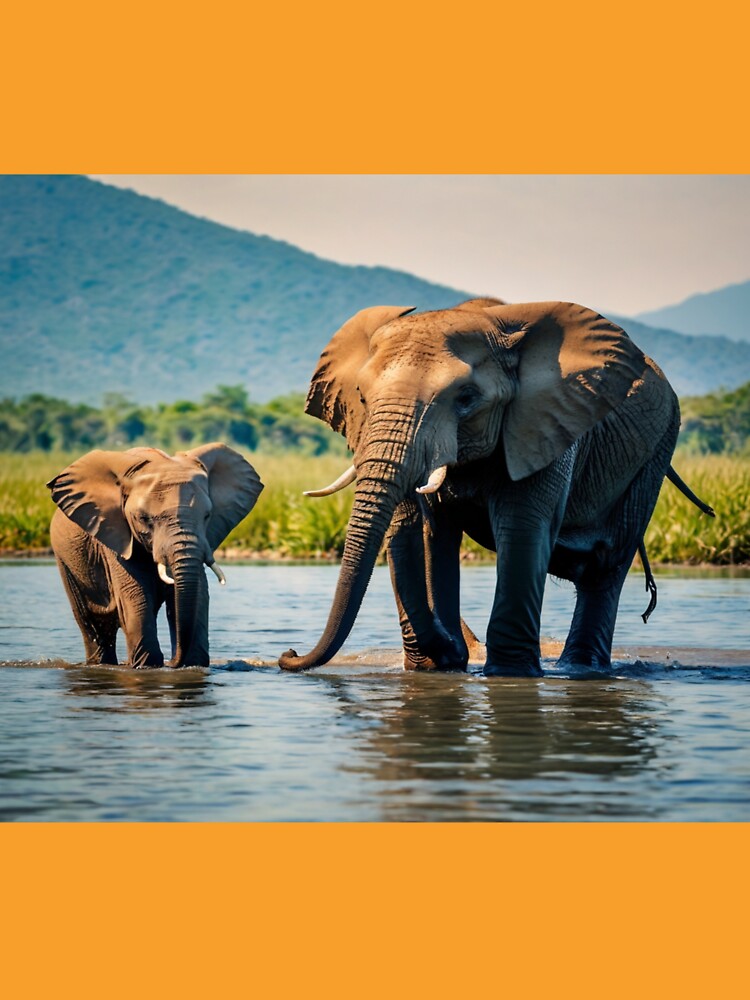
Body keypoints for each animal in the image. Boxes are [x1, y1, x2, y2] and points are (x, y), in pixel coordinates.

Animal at [48, 443, 263, 668]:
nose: (173, 662)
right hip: (66, 561)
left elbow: (199, 592)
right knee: (92, 624)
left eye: (207, 516)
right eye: (144, 518)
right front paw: (147, 666)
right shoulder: (114, 536)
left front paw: (191, 663)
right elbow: (135, 593)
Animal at [280, 298, 713, 677]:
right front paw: (438, 666)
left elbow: (521, 533)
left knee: (606, 568)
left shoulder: (545, 423)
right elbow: (431, 533)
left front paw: (509, 673)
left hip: (656, 451)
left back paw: (580, 669)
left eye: (466, 398)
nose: (289, 653)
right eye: (362, 397)